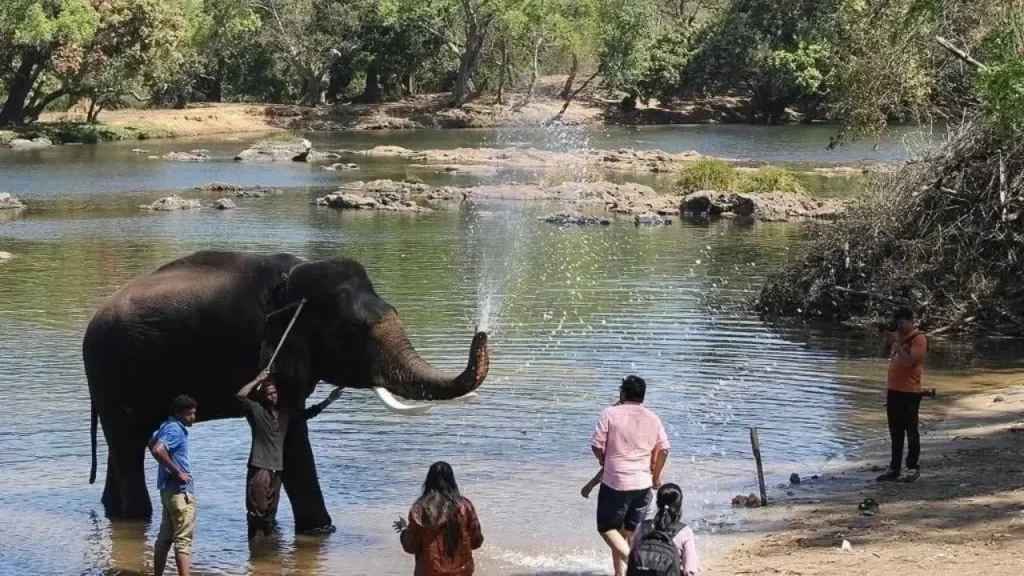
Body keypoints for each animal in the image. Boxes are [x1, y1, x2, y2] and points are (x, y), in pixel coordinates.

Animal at [84, 250, 489, 532]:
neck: (295, 278)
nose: (481, 333)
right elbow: (290, 438)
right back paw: (136, 517)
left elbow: (294, 422)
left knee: (127, 444)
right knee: (127, 444)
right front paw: (321, 529)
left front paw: (320, 532)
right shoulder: (256, 346)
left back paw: (114, 512)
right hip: (109, 372)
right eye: (354, 332)